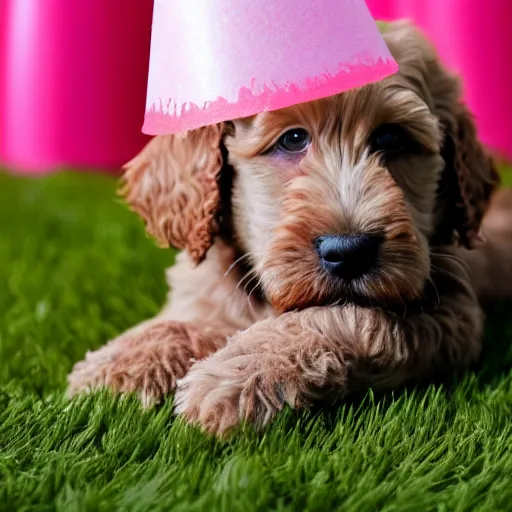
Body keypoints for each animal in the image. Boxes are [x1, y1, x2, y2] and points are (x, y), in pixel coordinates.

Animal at [69, 21, 512, 436]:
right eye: (293, 139)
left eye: (391, 137)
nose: (349, 251)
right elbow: (186, 317)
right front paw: (126, 361)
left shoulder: (450, 312)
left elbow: (351, 320)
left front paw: (241, 376)